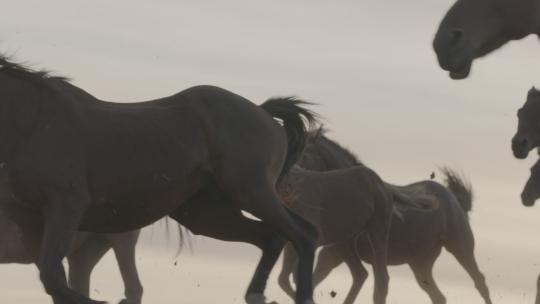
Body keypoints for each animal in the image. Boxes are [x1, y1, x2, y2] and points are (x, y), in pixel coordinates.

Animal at [0, 54, 320, 304]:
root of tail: (264, 113)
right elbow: (52, 281)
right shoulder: (31, 223)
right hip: (205, 213)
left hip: (250, 191)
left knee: (304, 234)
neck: (31, 123)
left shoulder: (67, 204)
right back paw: (255, 294)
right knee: (270, 237)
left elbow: (54, 279)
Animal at [278, 132, 494, 304]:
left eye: (304, 154)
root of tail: (453, 198)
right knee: (437, 296)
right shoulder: (331, 252)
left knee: (480, 282)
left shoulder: (332, 253)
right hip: (420, 264)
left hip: (460, 247)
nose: (287, 180)